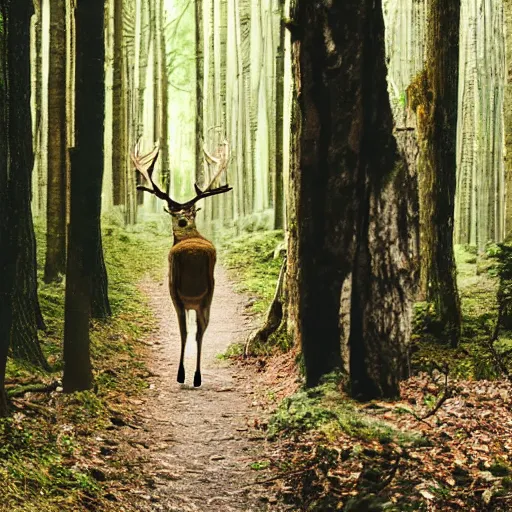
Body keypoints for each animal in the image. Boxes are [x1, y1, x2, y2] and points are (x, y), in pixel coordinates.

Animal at [130, 138, 232, 386]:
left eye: (188, 212)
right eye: (176, 212)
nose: (183, 220)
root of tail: (193, 253)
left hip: (176, 290)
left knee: (187, 331)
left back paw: (184, 374)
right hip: (206, 294)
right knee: (199, 330)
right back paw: (195, 376)